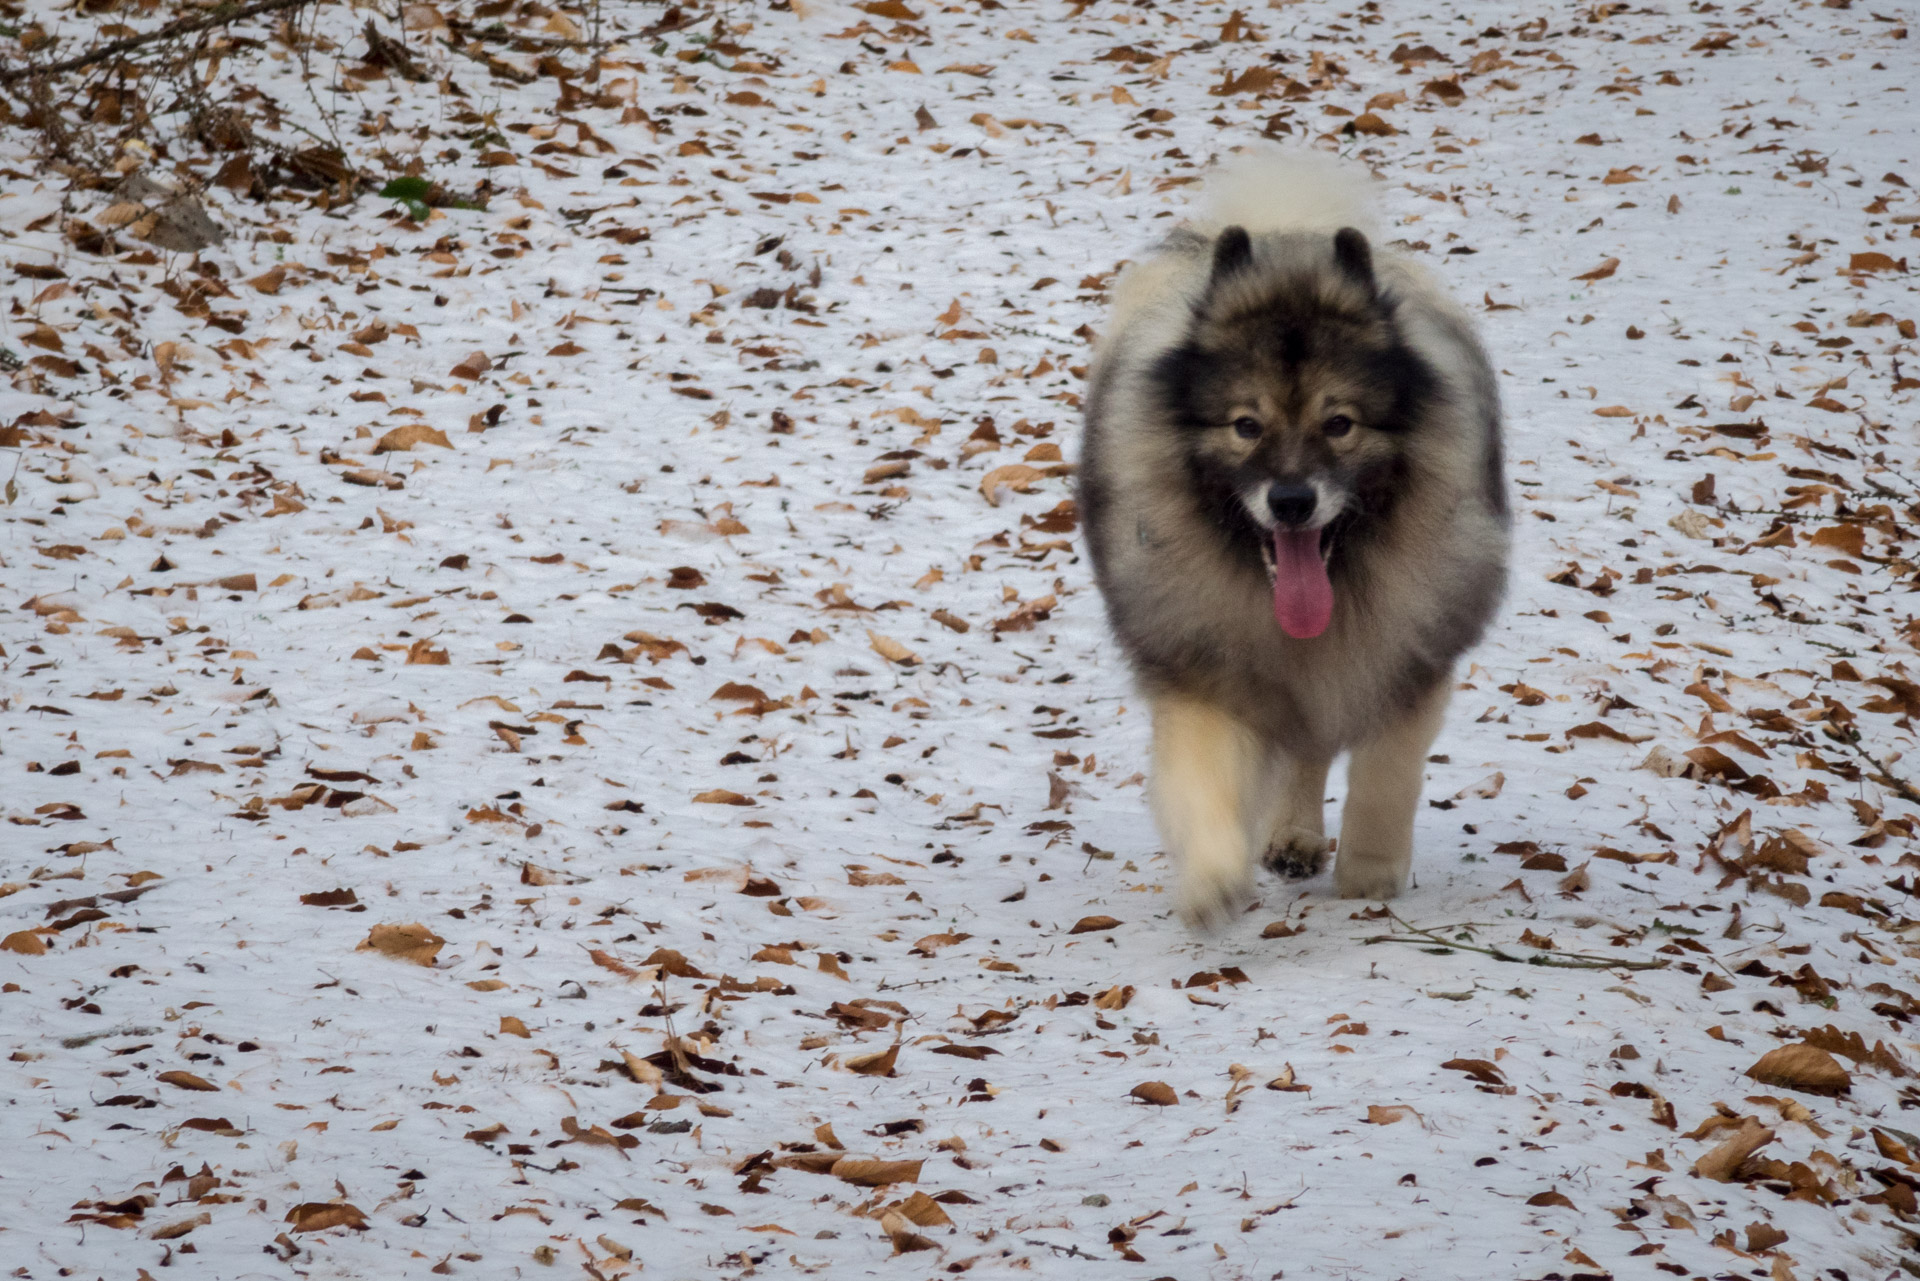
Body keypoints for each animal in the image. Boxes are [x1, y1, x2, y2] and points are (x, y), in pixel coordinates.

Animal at [1075, 155, 1505, 925]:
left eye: (1340, 423)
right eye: (1246, 426)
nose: (1293, 500)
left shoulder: (1406, 655)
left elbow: (1386, 775)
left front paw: (1369, 875)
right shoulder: (1206, 665)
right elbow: (1205, 776)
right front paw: (1214, 877)